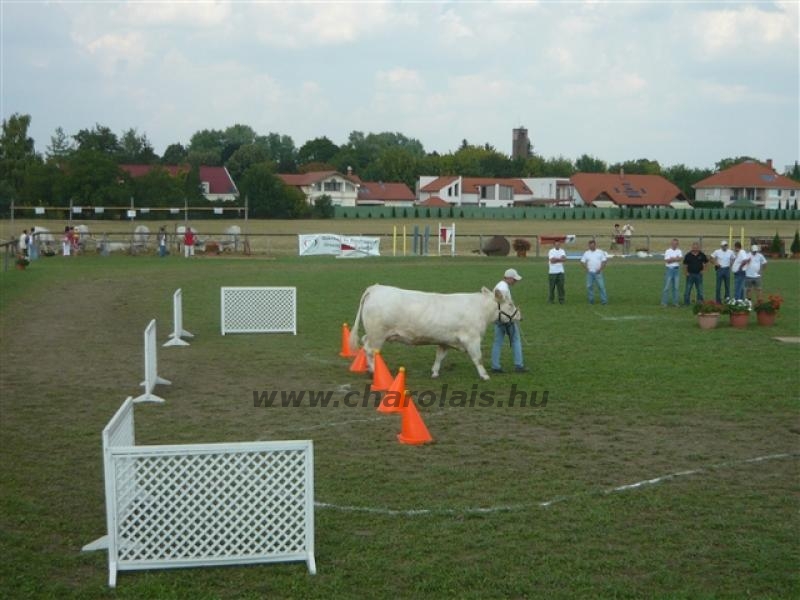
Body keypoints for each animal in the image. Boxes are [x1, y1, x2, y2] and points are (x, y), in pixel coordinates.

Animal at [346, 282, 520, 380]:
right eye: (510, 304)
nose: (520, 315)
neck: (479, 309)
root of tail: (375, 288)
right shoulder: (472, 339)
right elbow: (478, 358)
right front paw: (484, 375)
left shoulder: (445, 340)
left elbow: (439, 357)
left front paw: (435, 372)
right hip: (378, 334)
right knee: (370, 350)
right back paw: (374, 372)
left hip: (373, 333)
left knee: (365, 344)